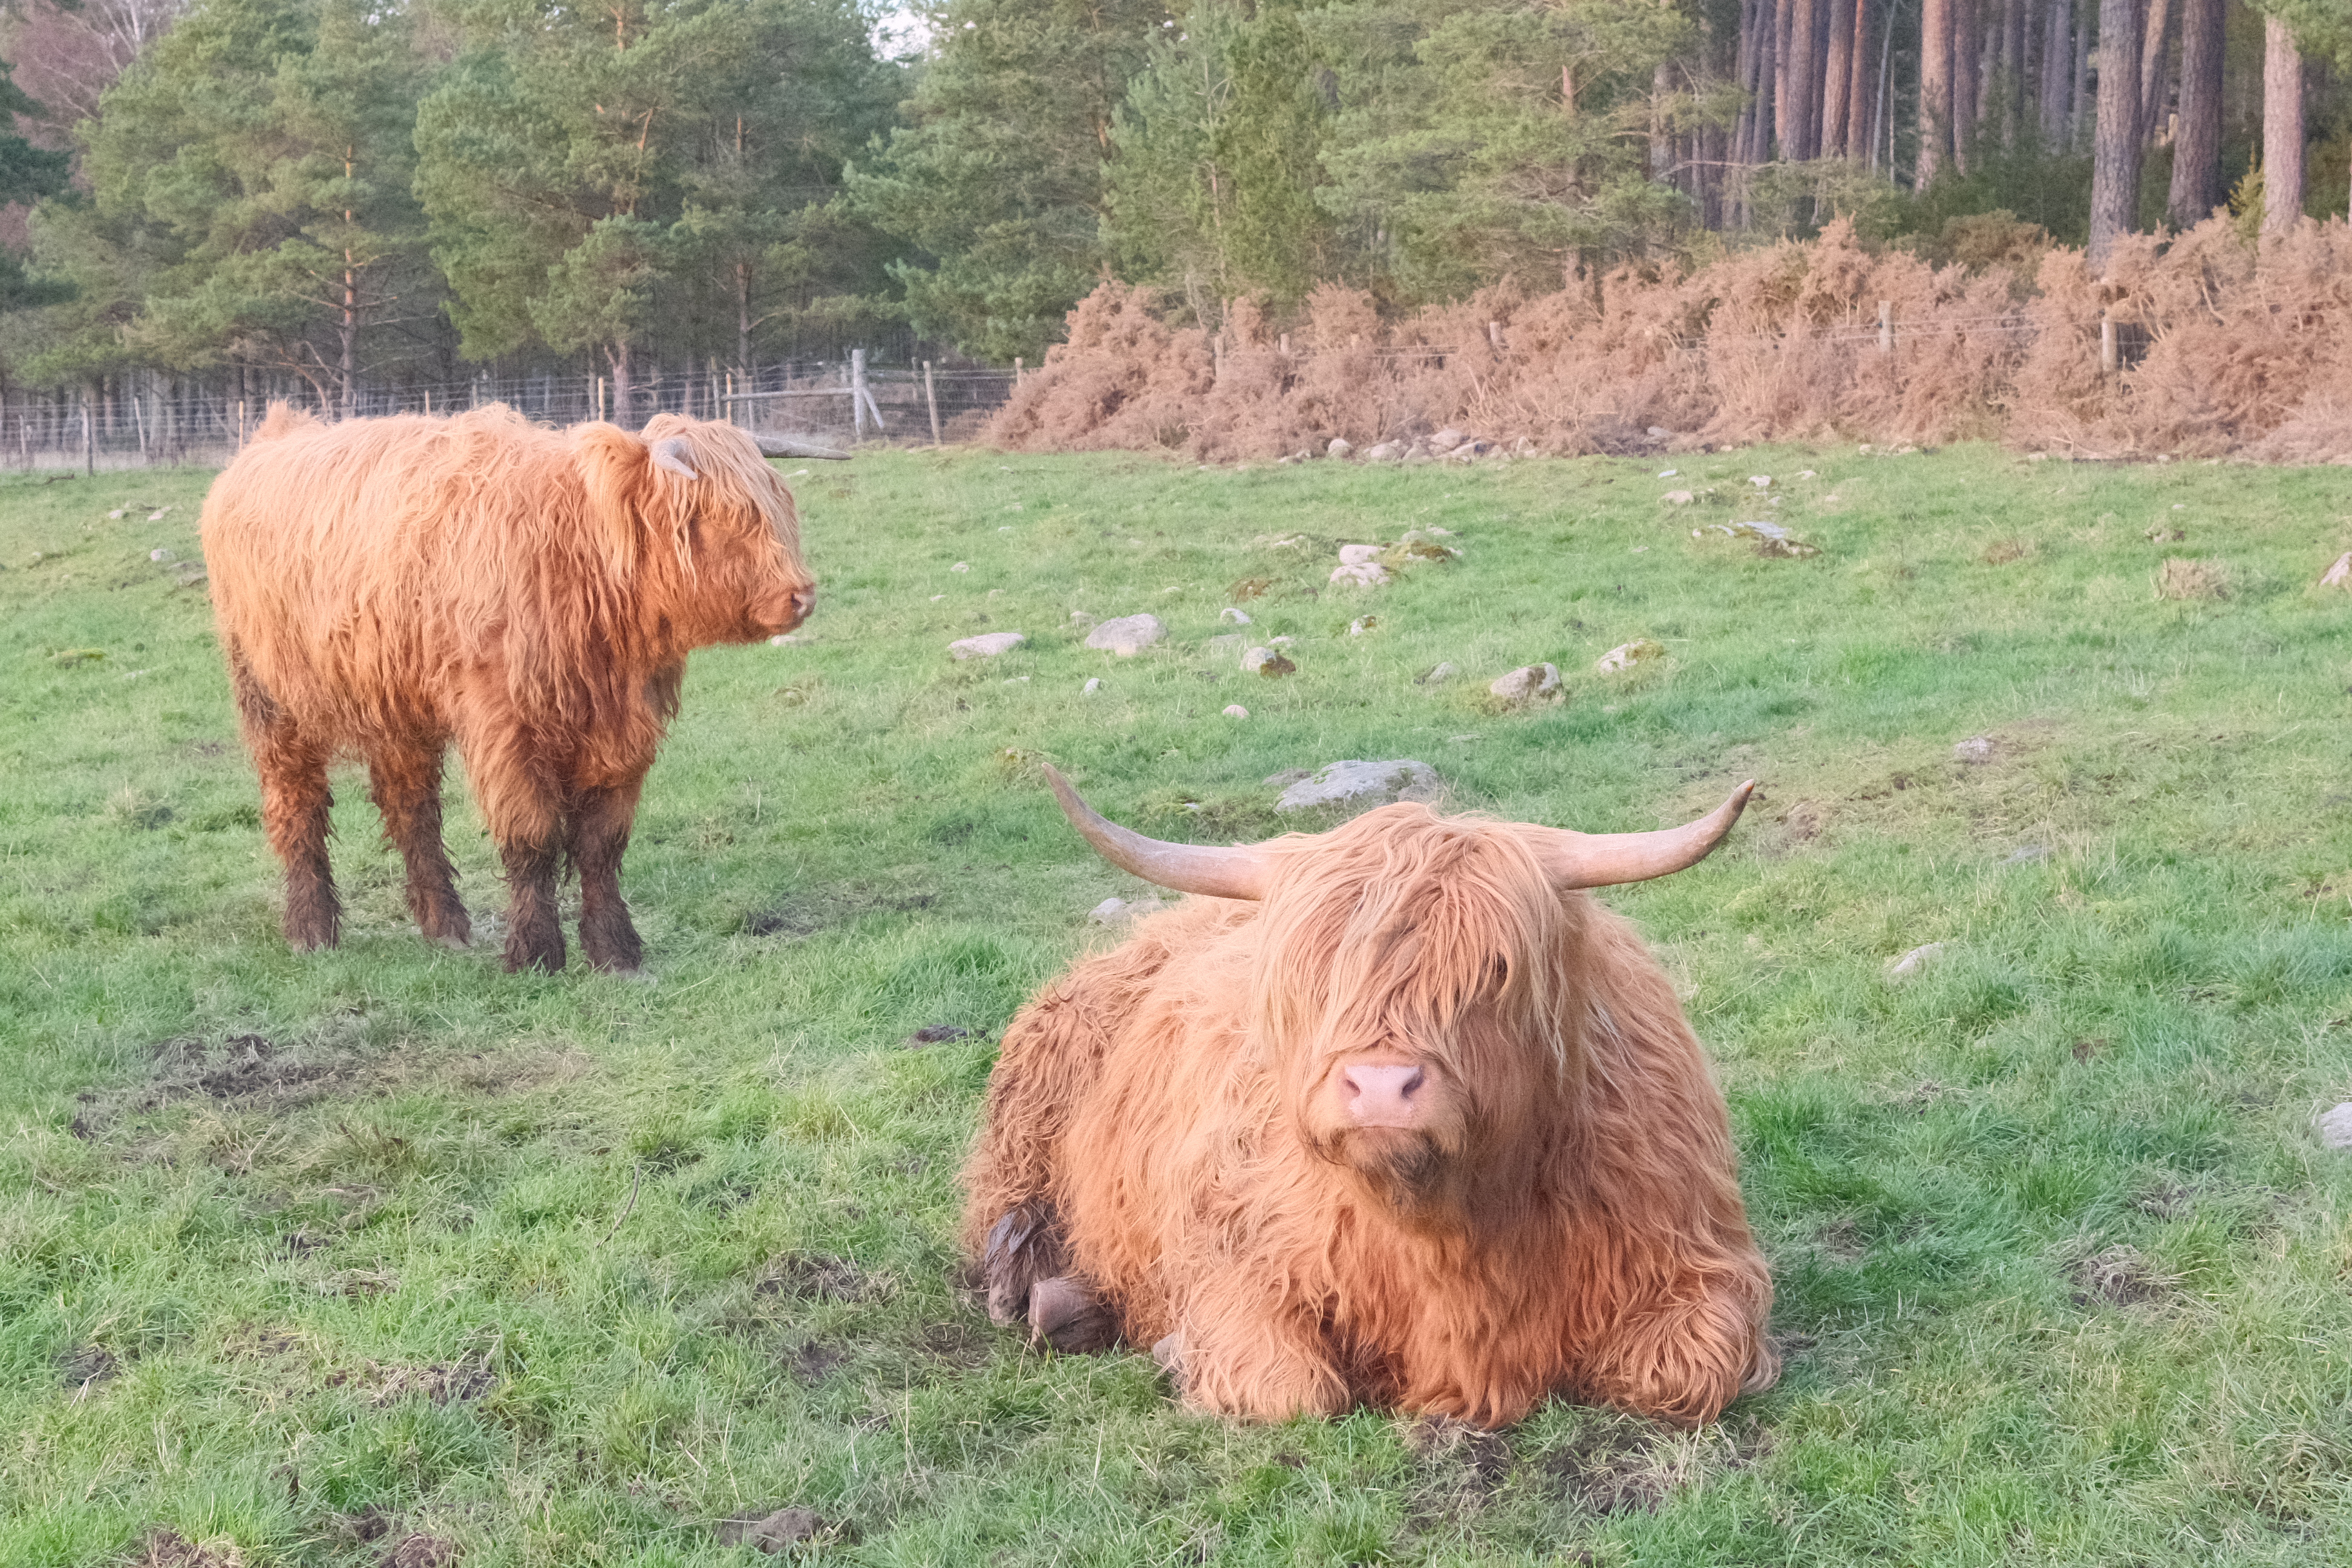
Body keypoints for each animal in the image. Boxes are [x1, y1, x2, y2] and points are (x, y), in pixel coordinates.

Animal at [201, 403, 831, 974]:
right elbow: (532, 839)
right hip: (271, 698)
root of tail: (275, 433)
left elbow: (601, 845)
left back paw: (445, 925)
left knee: (412, 810)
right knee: (297, 805)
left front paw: (616, 951)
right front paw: (536, 953)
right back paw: (312, 929)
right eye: (715, 514)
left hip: (397, 707)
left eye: (779, 506)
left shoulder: (622, 732)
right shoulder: (506, 726)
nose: (802, 596)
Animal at [963, 768, 1777, 1429]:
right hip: (1033, 1104)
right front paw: (1176, 1349)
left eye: (1496, 969)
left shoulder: (1696, 1258)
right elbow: (1290, 1392)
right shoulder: (1235, 1255)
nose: (1382, 1086)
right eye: (1314, 976)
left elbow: (1684, 1374)